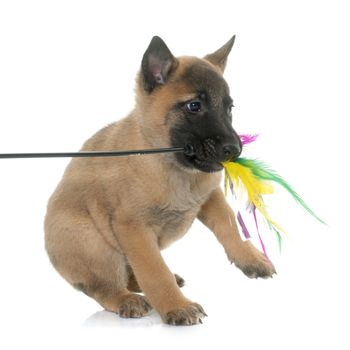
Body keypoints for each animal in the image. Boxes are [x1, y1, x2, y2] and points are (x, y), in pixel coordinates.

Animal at [45, 35, 276, 326]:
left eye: (229, 108)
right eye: (194, 106)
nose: (234, 150)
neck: (170, 165)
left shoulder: (209, 197)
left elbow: (228, 224)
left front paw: (249, 258)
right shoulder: (134, 229)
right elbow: (154, 271)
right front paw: (176, 305)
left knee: (129, 274)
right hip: (92, 242)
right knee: (104, 287)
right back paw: (126, 299)